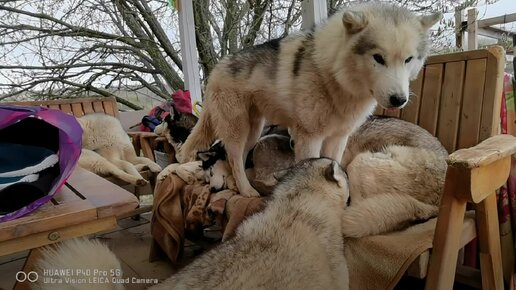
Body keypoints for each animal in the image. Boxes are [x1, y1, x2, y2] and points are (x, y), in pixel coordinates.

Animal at [176, 2, 440, 197]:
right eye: (378, 58)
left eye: (408, 59)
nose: (398, 100)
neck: (335, 77)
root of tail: (216, 69)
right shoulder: (309, 138)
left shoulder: (338, 138)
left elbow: (335, 165)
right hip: (237, 130)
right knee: (233, 157)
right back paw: (247, 190)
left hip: (253, 131)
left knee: (237, 159)